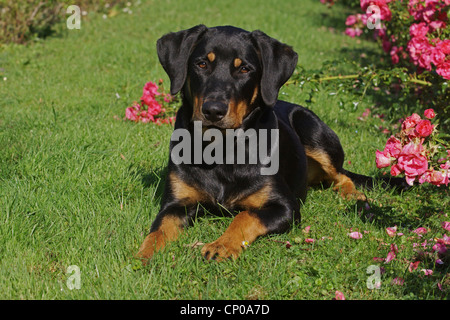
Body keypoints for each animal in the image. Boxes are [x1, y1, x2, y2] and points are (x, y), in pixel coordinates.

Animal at [135, 25, 402, 264]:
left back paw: (352, 195)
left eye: (244, 68)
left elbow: (245, 216)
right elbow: (159, 229)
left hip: (313, 130)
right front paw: (143, 256)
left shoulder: (285, 206)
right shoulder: (175, 203)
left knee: (341, 175)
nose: (213, 110)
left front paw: (221, 245)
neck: (221, 150)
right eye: (201, 64)